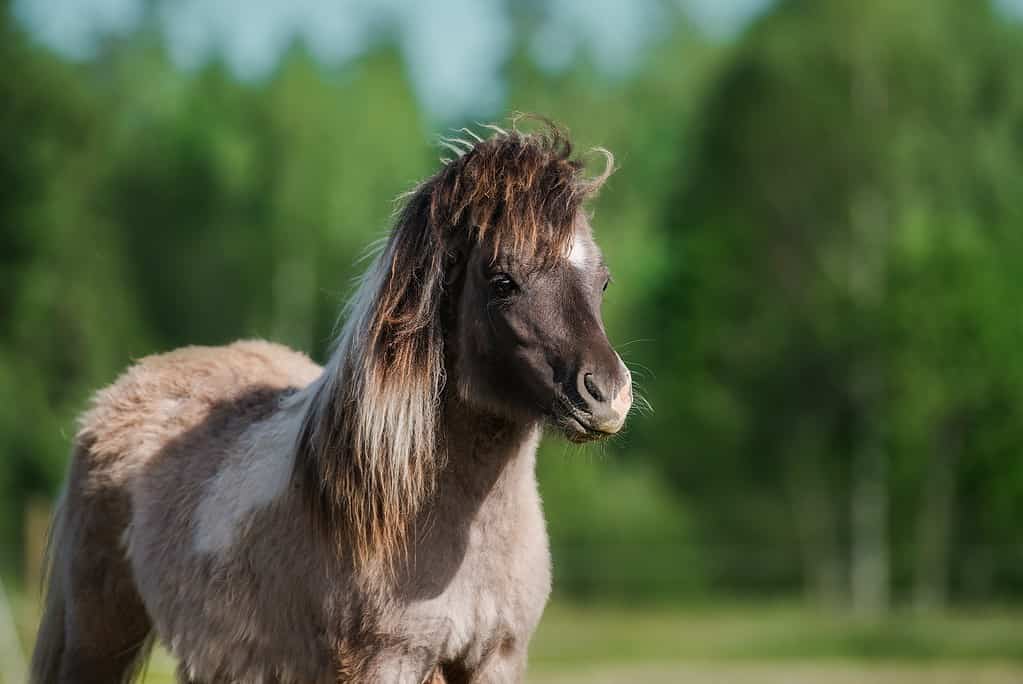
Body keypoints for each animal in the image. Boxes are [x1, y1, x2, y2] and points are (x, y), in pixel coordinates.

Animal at [30, 120, 633, 683]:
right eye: (503, 280)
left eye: (602, 282)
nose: (607, 395)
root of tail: (122, 392)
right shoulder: (384, 661)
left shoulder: (497, 658)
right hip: (97, 639)